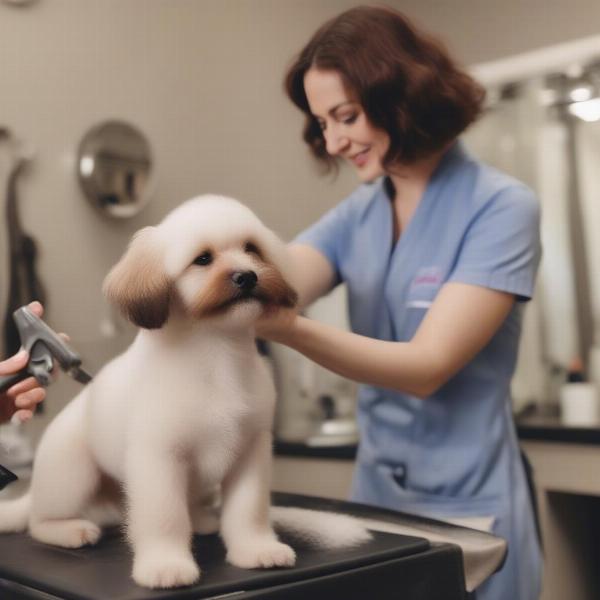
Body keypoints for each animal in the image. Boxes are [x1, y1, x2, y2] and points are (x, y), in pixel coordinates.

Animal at [0, 198, 370, 592]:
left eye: (251, 249)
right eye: (203, 259)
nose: (247, 276)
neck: (216, 354)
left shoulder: (251, 451)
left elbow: (249, 511)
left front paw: (256, 549)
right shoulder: (159, 459)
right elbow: (165, 517)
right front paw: (166, 565)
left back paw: (202, 519)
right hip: (72, 474)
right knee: (38, 522)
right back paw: (69, 530)